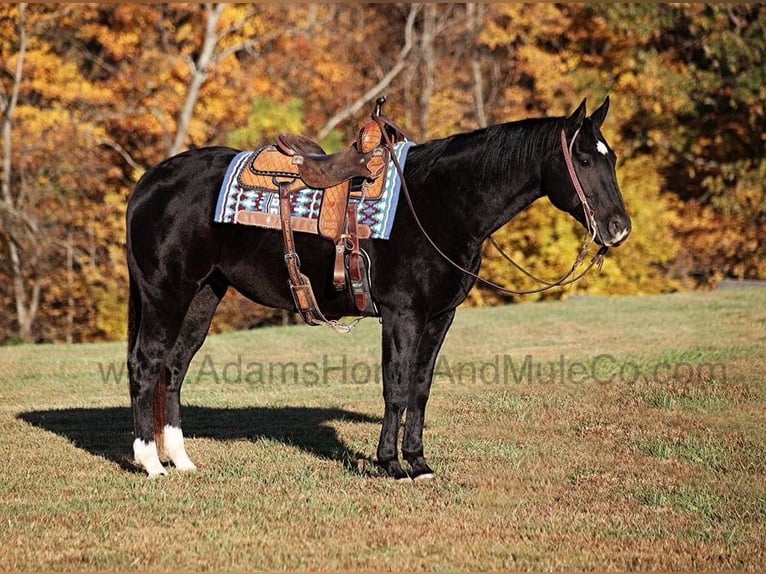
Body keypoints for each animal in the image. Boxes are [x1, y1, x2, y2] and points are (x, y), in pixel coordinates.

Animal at [126, 97, 631, 479]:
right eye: (584, 159)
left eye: (612, 158)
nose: (618, 228)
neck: (437, 203)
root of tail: (151, 180)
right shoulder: (402, 314)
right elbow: (397, 387)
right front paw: (390, 464)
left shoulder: (439, 316)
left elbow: (421, 388)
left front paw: (419, 462)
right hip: (166, 293)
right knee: (146, 365)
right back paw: (151, 463)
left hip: (203, 295)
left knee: (174, 368)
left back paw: (182, 460)